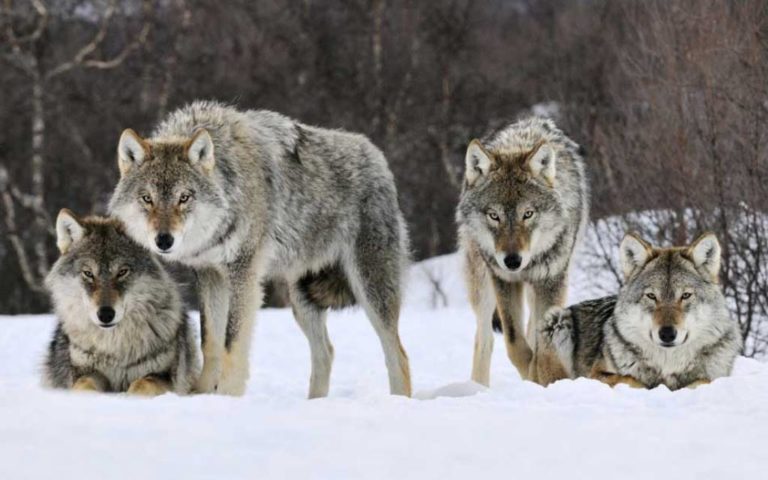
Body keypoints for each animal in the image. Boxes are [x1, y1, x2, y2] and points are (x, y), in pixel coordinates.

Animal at [43, 209, 200, 394]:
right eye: (88, 273)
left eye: (122, 272)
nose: (105, 314)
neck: (114, 348)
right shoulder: (85, 372)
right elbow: (84, 385)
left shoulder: (164, 376)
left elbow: (142, 385)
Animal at [456, 117, 588, 386]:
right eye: (494, 215)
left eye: (528, 214)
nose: (512, 261)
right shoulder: (504, 280)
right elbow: (515, 343)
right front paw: (531, 374)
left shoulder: (551, 280)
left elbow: (540, 341)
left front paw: (541, 376)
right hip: (482, 284)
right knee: (485, 339)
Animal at [540, 232, 744, 390]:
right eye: (651, 296)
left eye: (685, 295)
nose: (667, 334)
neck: (668, 365)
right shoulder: (595, 374)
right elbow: (631, 379)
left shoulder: (714, 377)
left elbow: (702, 381)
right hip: (556, 320)